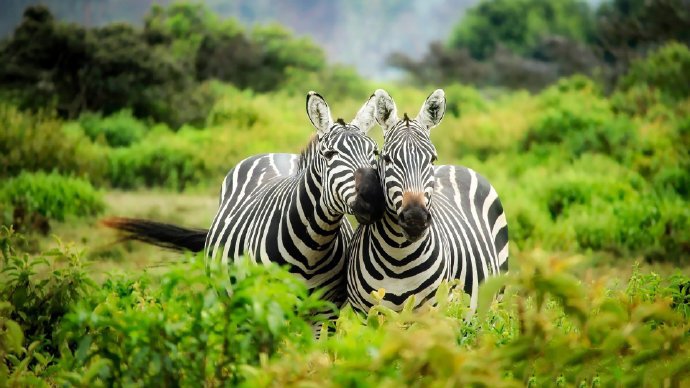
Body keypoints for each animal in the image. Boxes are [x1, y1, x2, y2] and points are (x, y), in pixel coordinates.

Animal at [108, 90, 388, 306]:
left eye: (374, 152)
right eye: (330, 155)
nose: (374, 199)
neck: (313, 246)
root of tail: (274, 153)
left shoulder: (325, 311)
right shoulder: (269, 303)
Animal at [346, 89, 508, 314]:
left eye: (432, 159)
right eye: (387, 159)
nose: (415, 219)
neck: (398, 258)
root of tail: (457, 166)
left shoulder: (432, 312)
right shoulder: (365, 314)